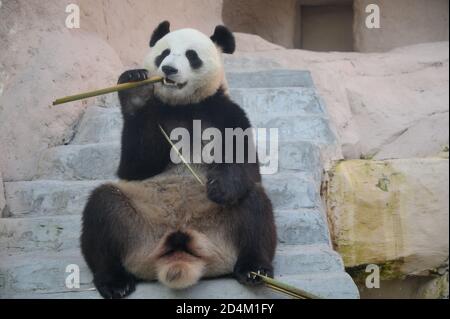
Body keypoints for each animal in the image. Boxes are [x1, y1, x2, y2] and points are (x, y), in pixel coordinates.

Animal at [81, 21, 278, 300]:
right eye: (163, 53)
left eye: (191, 55)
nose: (168, 69)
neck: (185, 106)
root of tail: (180, 245)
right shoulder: (158, 117)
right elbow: (134, 167)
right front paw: (136, 90)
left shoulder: (227, 113)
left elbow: (248, 167)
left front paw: (220, 186)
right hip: (139, 223)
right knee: (103, 208)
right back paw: (114, 281)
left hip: (221, 229)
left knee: (254, 204)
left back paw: (254, 270)